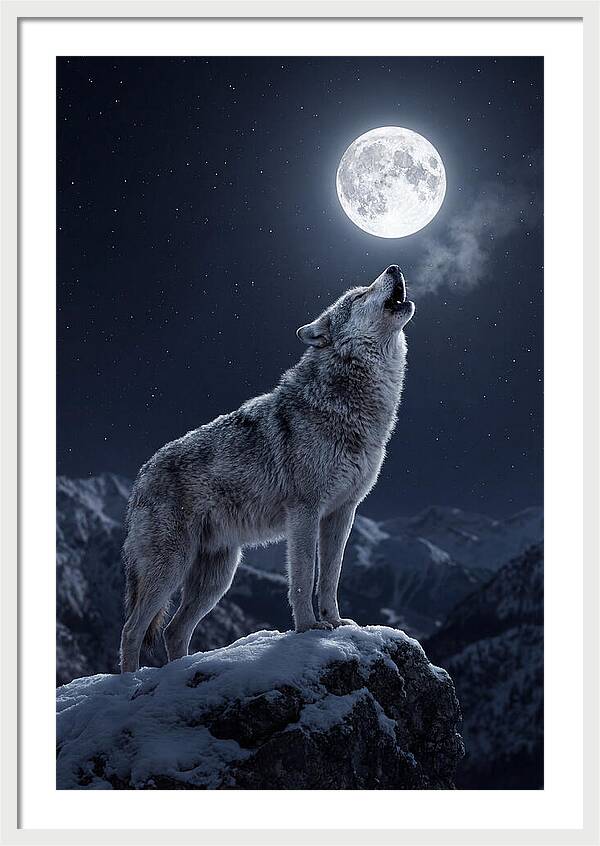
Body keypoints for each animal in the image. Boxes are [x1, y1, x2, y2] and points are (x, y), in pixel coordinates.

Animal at [119, 264, 415, 672]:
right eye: (358, 295)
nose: (394, 268)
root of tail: (141, 476)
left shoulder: (342, 513)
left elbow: (331, 577)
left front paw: (336, 622)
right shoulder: (304, 512)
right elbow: (304, 577)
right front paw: (308, 628)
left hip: (218, 577)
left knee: (173, 631)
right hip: (169, 569)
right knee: (132, 630)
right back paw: (129, 682)